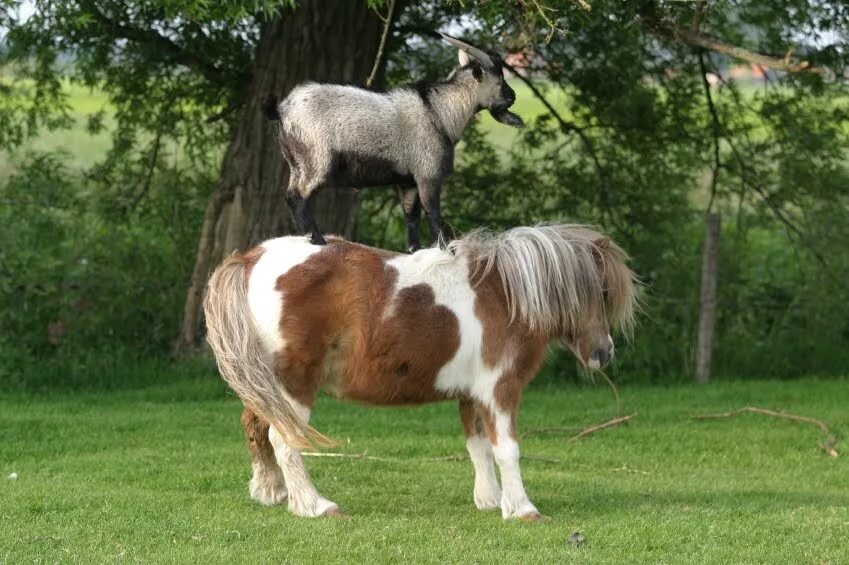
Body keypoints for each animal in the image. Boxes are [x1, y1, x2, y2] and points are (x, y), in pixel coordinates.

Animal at [202, 224, 632, 520]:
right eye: (602, 291)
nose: (604, 353)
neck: (504, 296)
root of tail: (250, 258)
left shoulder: (471, 396)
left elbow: (478, 447)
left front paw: (491, 501)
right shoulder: (500, 390)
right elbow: (507, 448)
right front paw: (523, 509)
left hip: (266, 386)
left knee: (255, 427)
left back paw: (270, 491)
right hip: (295, 383)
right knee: (283, 438)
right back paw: (313, 505)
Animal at [262, 32, 524, 249]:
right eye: (499, 80)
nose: (513, 96)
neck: (439, 113)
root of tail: (282, 110)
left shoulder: (407, 182)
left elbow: (411, 216)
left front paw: (414, 249)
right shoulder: (428, 175)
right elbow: (433, 216)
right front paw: (445, 249)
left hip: (296, 164)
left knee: (292, 196)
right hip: (316, 162)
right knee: (297, 197)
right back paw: (317, 238)